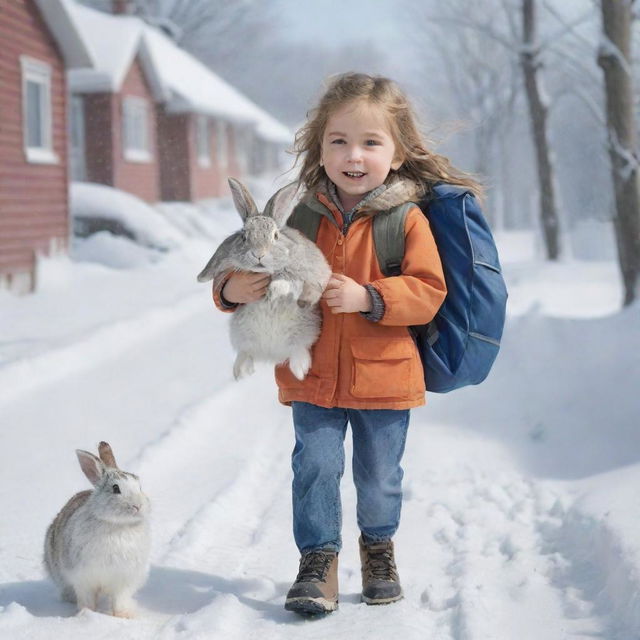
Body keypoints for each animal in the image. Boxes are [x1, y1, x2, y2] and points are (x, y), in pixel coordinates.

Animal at [43, 442, 151, 616]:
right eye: (116, 489)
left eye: (139, 487)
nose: (138, 506)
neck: (117, 525)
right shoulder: (83, 577)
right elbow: (86, 598)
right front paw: (86, 614)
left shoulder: (124, 579)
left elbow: (120, 599)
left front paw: (123, 616)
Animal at [196, 178, 330, 380]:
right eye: (244, 236)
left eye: (275, 235)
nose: (259, 254)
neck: (265, 271)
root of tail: (271, 353)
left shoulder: (303, 273)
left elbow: (290, 281)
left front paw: (273, 290)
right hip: (241, 334)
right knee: (245, 351)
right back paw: (241, 372)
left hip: (304, 331)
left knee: (299, 348)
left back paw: (300, 370)